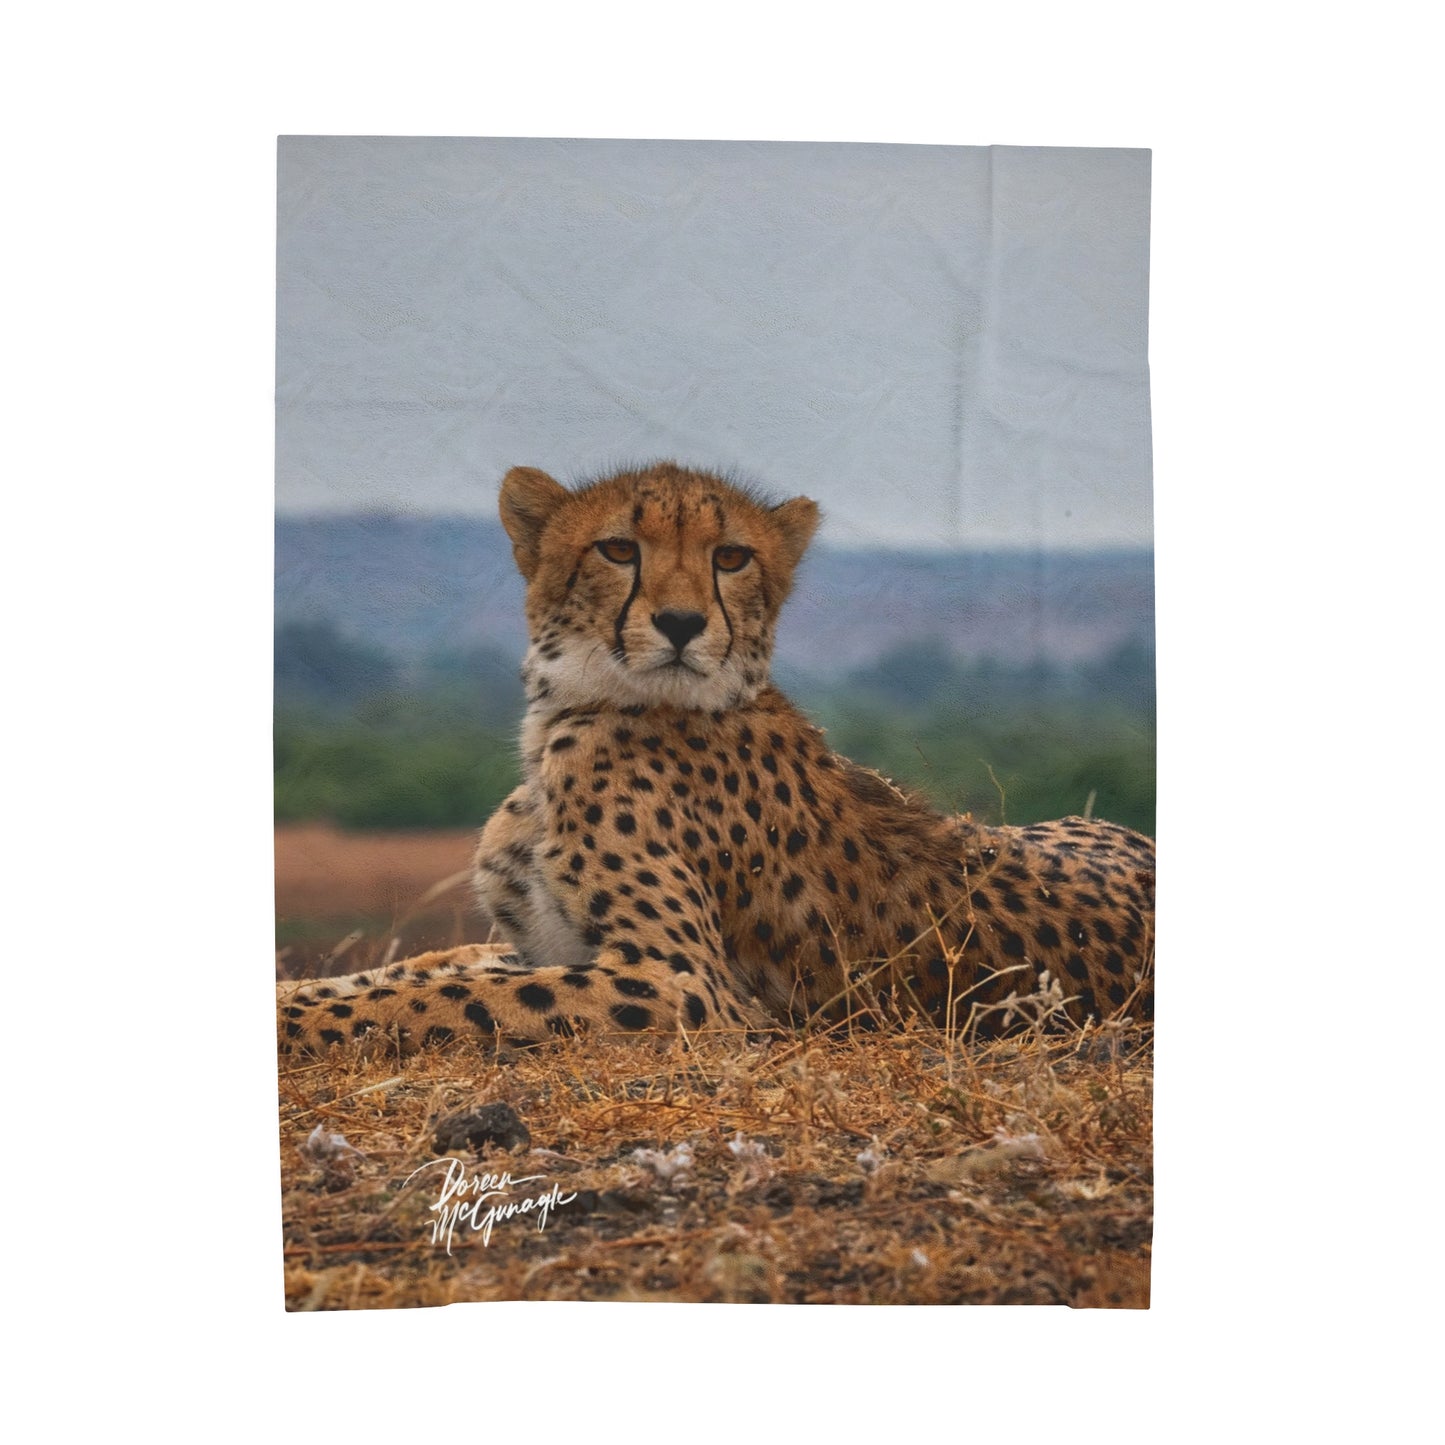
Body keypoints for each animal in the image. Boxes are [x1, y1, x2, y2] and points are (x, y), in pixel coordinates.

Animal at [278, 461, 1154, 1056]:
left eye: (730, 557)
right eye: (617, 548)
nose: (679, 622)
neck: (574, 713)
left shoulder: (688, 985)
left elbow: (442, 998)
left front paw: (296, 1019)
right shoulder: (538, 943)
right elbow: (423, 970)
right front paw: (300, 991)